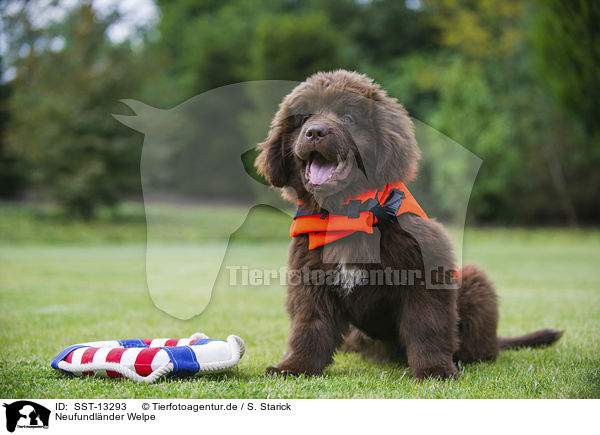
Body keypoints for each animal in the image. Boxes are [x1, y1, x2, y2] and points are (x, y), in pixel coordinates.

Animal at [256, 70, 564, 380]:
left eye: (347, 118)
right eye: (304, 118)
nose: (315, 132)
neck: (350, 214)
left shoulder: (423, 272)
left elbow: (426, 325)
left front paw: (435, 370)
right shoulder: (310, 280)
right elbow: (309, 327)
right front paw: (295, 367)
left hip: (473, 281)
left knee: (483, 347)